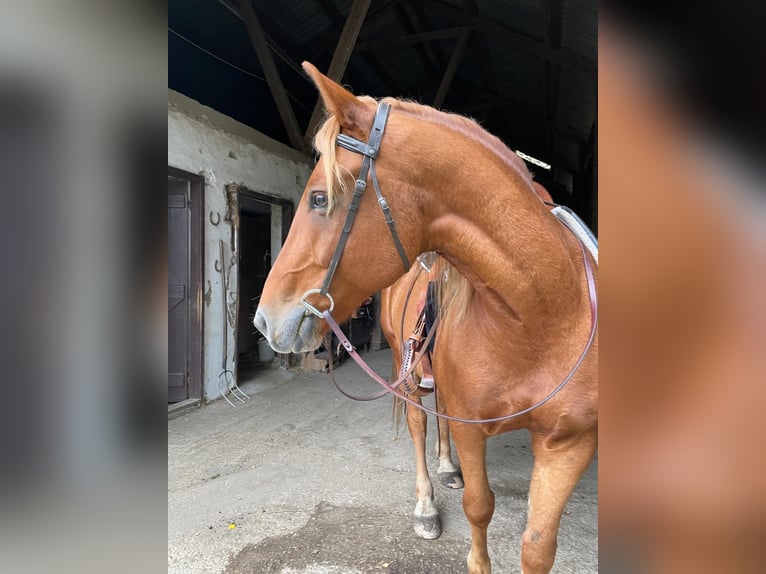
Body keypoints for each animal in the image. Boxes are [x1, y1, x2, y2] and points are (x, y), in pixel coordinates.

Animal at [258, 60, 600, 572]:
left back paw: (446, 466)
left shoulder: (569, 445)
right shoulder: (472, 428)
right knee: (420, 423)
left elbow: (539, 545)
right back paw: (425, 503)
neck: (539, 319)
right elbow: (479, 507)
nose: (263, 319)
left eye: (318, 198)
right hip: (408, 368)